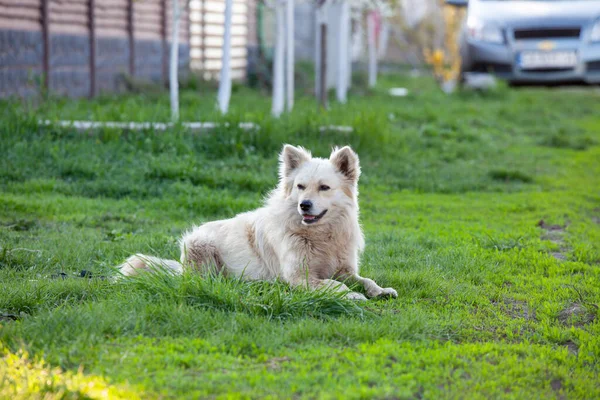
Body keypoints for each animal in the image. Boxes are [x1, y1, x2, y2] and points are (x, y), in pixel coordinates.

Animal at [118, 145, 398, 300]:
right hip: (204, 252)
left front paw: (380, 290)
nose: (304, 205)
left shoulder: (345, 270)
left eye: (324, 187)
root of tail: (181, 266)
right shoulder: (300, 277)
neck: (318, 236)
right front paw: (352, 295)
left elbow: (365, 280)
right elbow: (334, 285)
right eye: (300, 187)